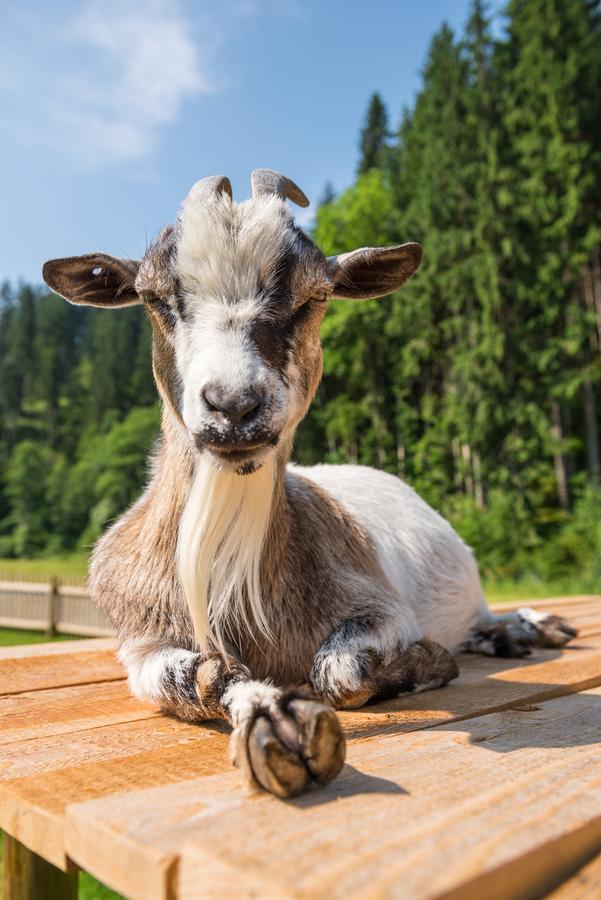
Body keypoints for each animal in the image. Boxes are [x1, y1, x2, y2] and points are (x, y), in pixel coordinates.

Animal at [42, 169, 576, 796]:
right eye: (154, 299)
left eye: (315, 297)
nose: (234, 405)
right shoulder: (140, 644)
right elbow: (202, 678)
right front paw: (269, 718)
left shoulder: (382, 604)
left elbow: (339, 671)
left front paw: (425, 666)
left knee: (485, 613)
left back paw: (527, 628)